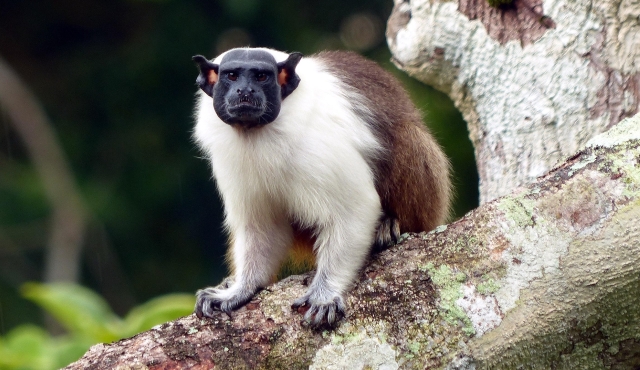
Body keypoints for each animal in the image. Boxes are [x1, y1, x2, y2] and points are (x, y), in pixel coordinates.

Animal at [190, 47, 450, 326]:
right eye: (232, 76)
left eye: (261, 77)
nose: (245, 91)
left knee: (405, 133)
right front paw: (241, 289)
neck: (258, 134)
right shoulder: (232, 162)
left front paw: (325, 293)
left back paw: (389, 224)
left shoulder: (319, 146)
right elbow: (263, 228)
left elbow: (354, 210)